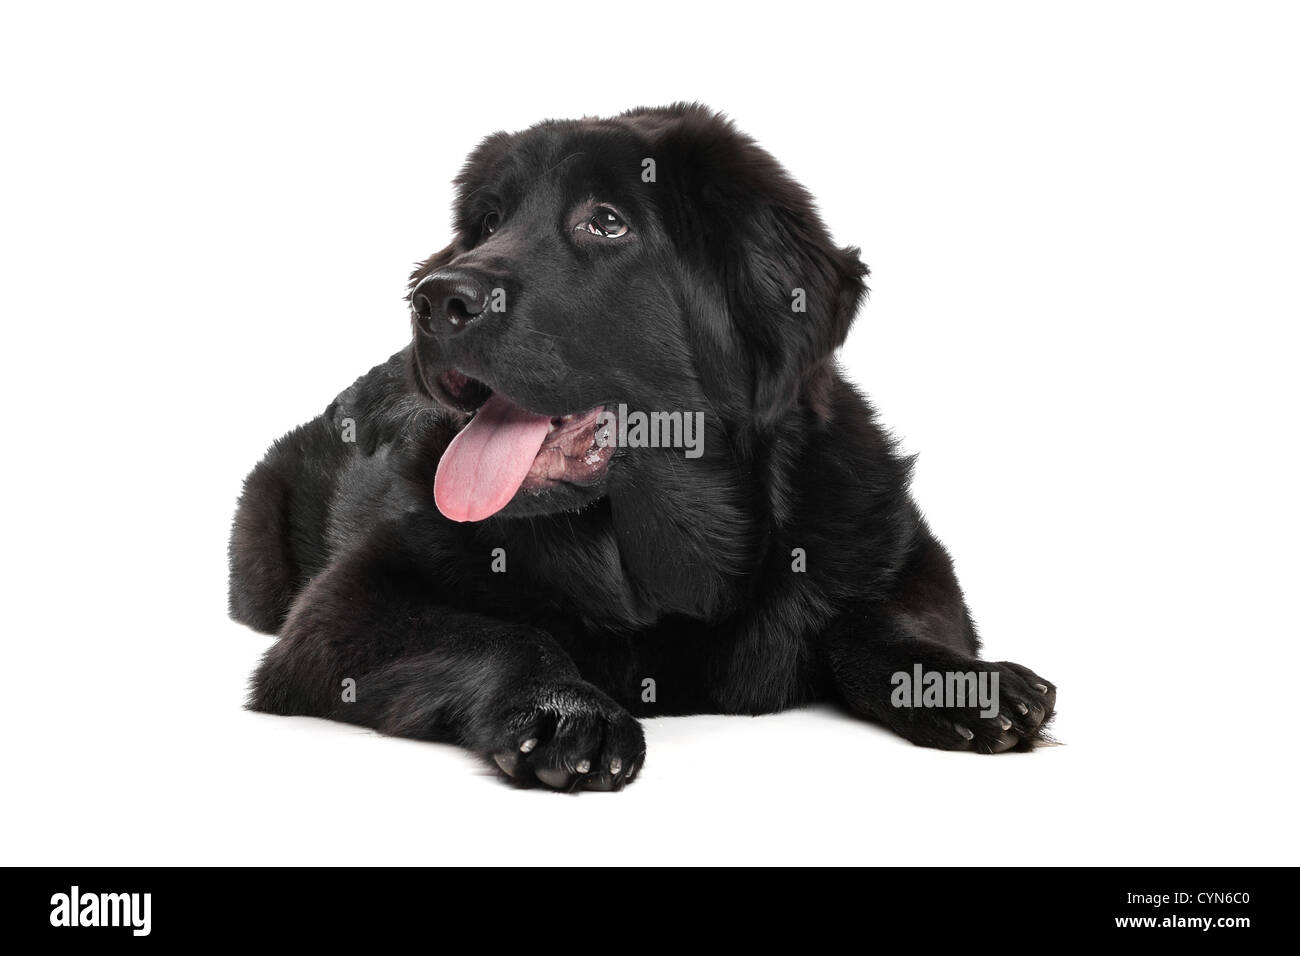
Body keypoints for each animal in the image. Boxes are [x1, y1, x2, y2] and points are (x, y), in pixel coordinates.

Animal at [226, 104, 1055, 790]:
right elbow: (498, 633)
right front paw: (565, 709)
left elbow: (878, 615)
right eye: (488, 221)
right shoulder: (343, 608)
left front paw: (959, 682)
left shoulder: (894, 544)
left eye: (606, 223)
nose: (433, 298)